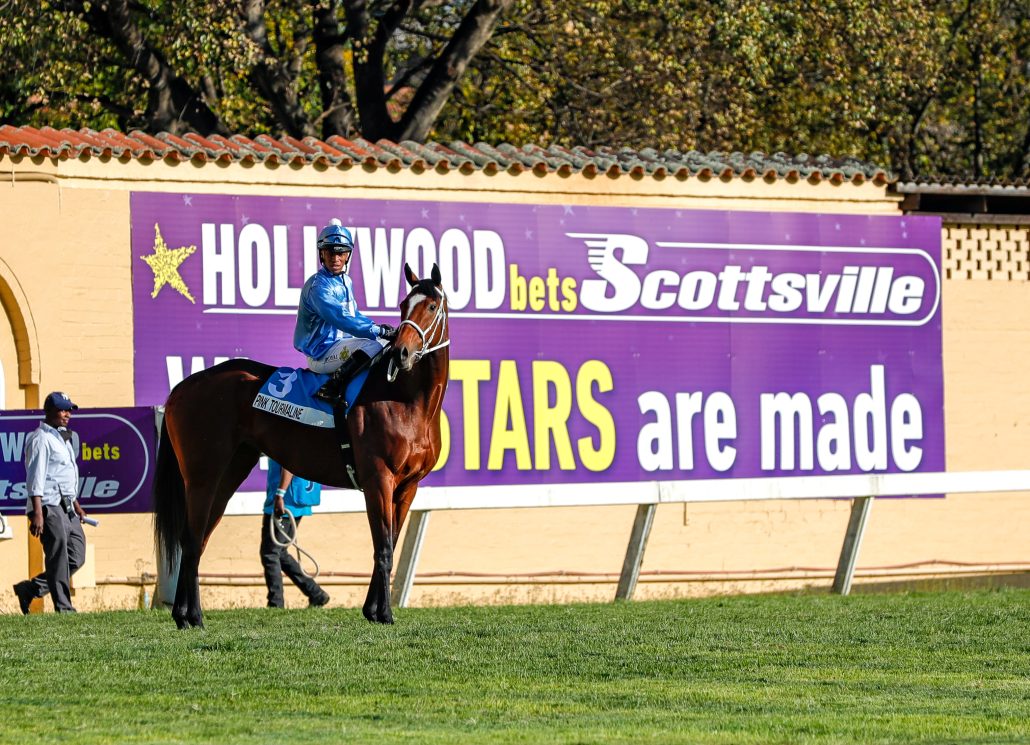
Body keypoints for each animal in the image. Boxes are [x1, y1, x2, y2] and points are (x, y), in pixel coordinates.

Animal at [151, 265, 447, 626]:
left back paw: (185, 615)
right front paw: (384, 613)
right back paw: (191, 615)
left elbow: (389, 540)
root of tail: (182, 386)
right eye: (404, 305)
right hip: (202, 475)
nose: (401, 352)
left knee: (198, 537)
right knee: (192, 538)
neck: (405, 399)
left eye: (431, 305)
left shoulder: (407, 486)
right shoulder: (379, 479)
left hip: (228, 473)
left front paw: (373, 610)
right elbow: (384, 548)